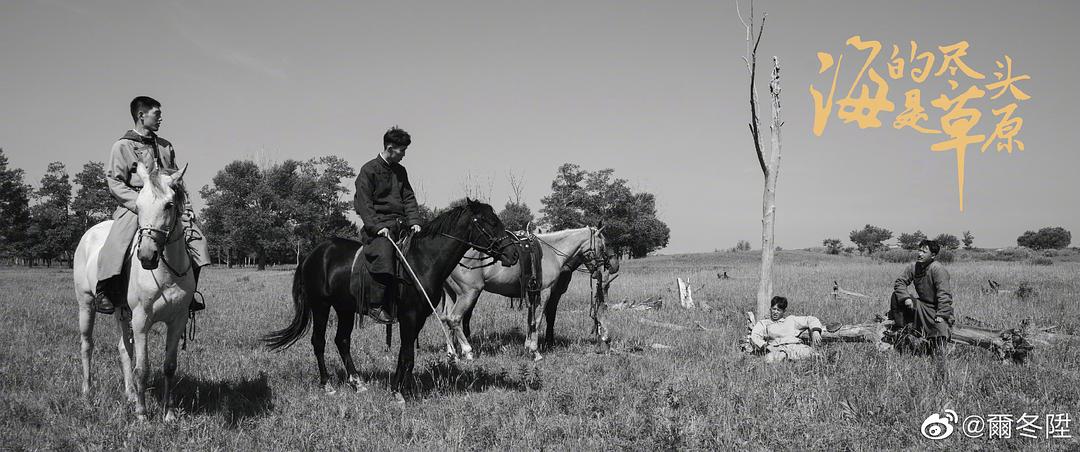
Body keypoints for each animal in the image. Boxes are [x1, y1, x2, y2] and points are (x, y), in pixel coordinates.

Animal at [72, 161, 195, 420]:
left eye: (169, 205)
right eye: (137, 207)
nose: (147, 256)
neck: (165, 274)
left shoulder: (177, 321)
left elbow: (169, 366)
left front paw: (168, 413)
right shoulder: (141, 320)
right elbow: (143, 367)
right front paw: (141, 413)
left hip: (121, 312)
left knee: (123, 348)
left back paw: (129, 394)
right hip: (86, 305)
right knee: (87, 345)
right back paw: (87, 392)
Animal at [260, 199, 514, 399]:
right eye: (490, 222)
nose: (512, 253)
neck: (421, 262)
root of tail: (312, 254)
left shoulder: (418, 317)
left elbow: (405, 353)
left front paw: (400, 388)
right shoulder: (409, 316)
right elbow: (408, 354)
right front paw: (401, 393)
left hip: (344, 309)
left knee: (342, 341)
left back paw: (357, 382)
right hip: (321, 306)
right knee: (319, 342)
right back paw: (327, 385)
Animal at [438, 226, 617, 360]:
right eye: (603, 245)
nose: (607, 267)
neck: (552, 253)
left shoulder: (532, 293)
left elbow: (530, 321)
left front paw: (528, 347)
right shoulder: (544, 292)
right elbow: (537, 321)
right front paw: (535, 351)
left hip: (452, 294)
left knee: (446, 319)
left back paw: (452, 353)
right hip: (468, 294)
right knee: (454, 319)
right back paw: (468, 352)